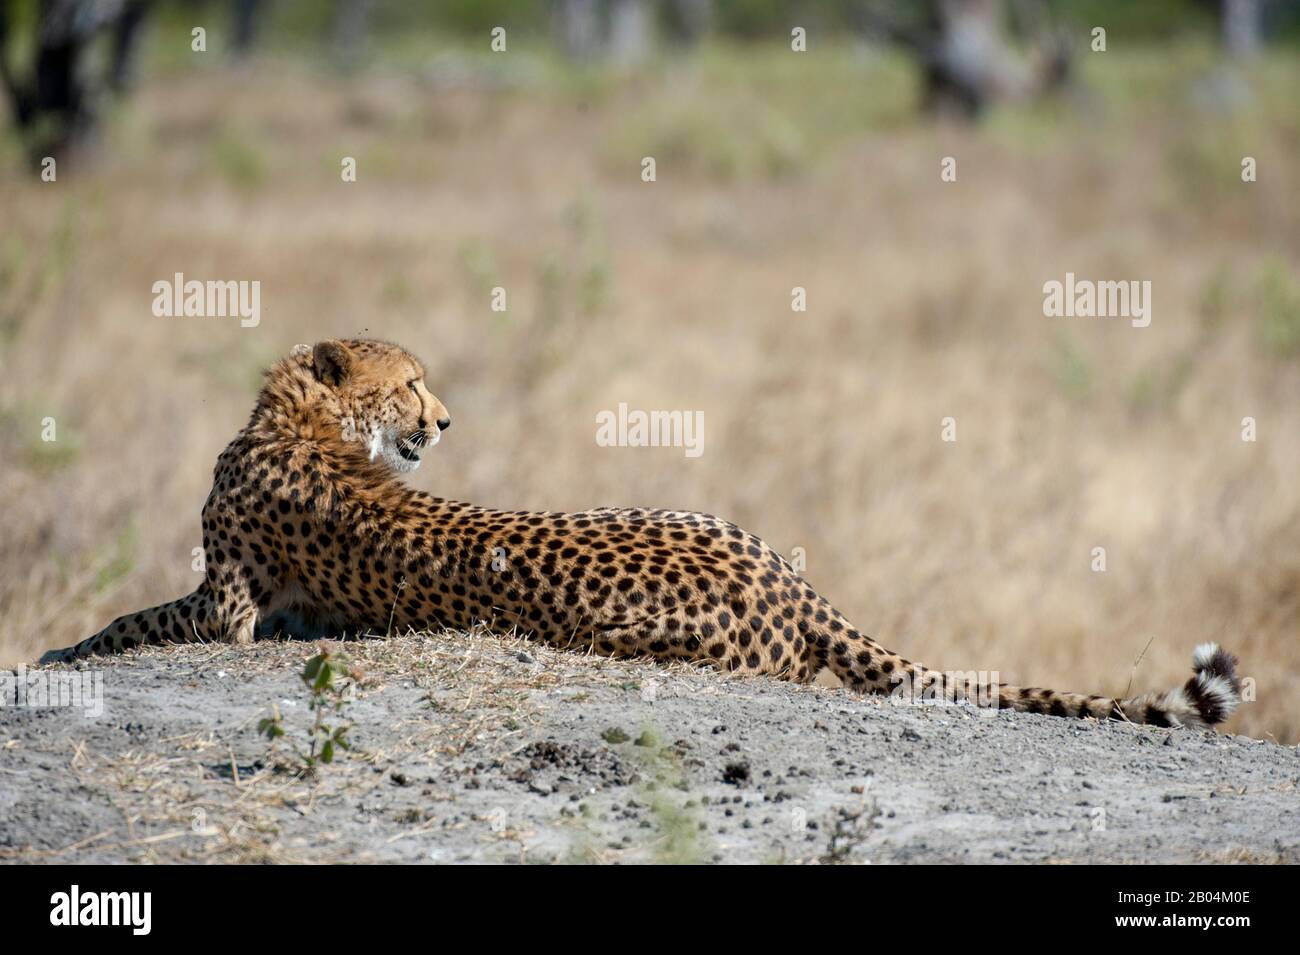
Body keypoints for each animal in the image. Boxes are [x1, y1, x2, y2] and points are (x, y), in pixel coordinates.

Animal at [38, 340, 1237, 727]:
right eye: (412, 383)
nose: (444, 420)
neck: (307, 420)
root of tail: (785, 576)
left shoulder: (227, 610)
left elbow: (133, 619)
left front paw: (57, 651)